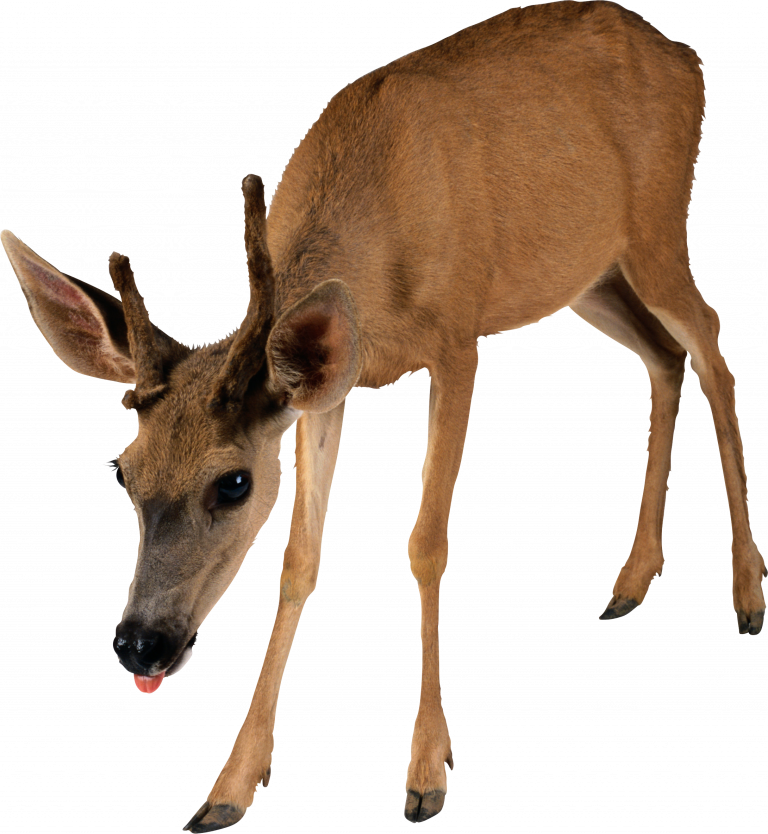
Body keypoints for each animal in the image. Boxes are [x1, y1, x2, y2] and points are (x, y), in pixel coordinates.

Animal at [3, 1, 765, 830]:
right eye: (119, 471)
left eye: (233, 484)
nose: (140, 646)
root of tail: (683, 54)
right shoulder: (327, 392)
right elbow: (298, 560)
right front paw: (230, 786)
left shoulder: (458, 338)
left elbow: (426, 543)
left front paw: (426, 772)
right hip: (588, 274)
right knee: (664, 358)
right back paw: (631, 580)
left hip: (657, 230)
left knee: (713, 345)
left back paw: (747, 594)